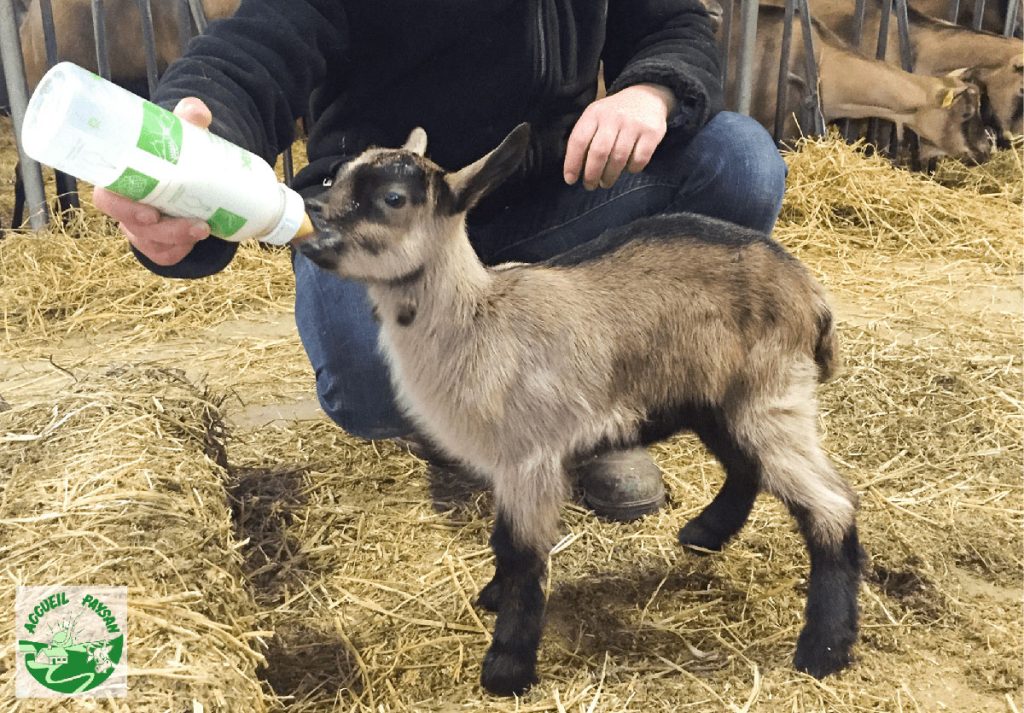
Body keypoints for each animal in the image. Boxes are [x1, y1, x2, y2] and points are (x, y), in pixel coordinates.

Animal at [296, 123, 864, 696]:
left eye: (394, 199)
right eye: (338, 174)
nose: (311, 215)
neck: (479, 318)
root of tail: (811, 294)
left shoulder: (530, 457)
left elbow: (524, 555)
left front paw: (507, 666)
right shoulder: (508, 464)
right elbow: (504, 543)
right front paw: (494, 597)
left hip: (771, 396)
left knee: (831, 504)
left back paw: (823, 649)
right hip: (719, 400)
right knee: (748, 467)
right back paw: (705, 534)